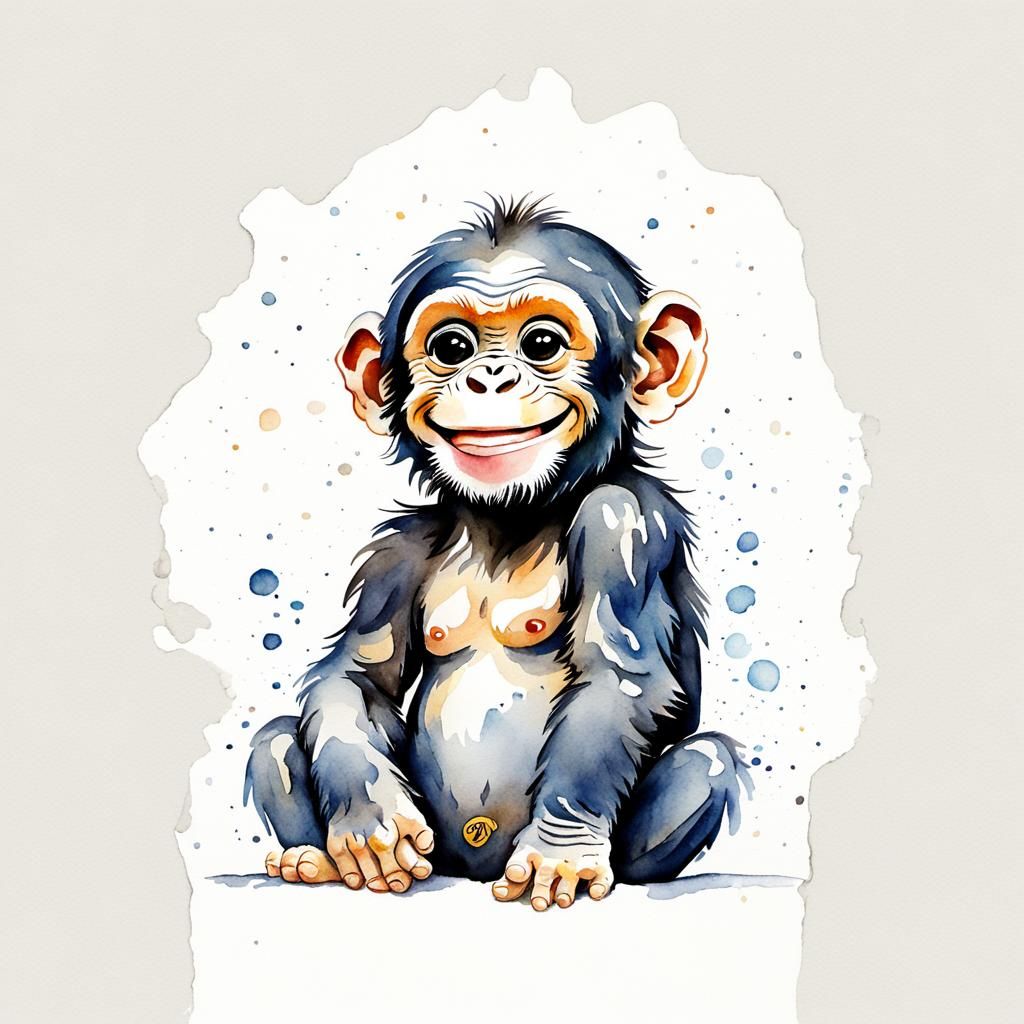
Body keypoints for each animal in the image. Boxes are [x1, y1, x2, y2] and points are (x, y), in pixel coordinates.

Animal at [244, 196, 751, 911]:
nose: (489, 377)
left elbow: (620, 680)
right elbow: (358, 676)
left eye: (541, 343)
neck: (513, 517)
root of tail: (473, 867)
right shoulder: (395, 554)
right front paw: (370, 820)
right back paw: (311, 859)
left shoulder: (623, 521)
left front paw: (560, 853)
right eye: (451, 347)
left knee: (704, 761)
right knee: (274, 740)